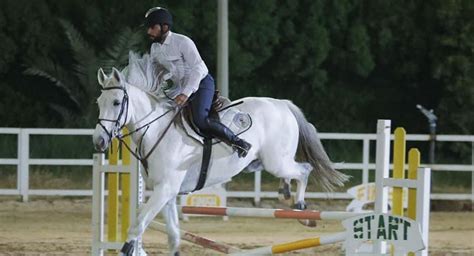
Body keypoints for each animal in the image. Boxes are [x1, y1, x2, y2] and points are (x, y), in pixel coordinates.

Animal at [92, 53, 348, 254]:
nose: (99, 141)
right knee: (290, 176)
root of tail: (283, 104)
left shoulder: (164, 189)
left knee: (304, 170)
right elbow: (172, 234)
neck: (156, 130)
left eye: (116, 102)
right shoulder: (167, 192)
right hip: (270, 162)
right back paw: (285, 194)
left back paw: (302, 210)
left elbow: (137, 225)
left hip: (277, 162)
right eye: (98, 102)